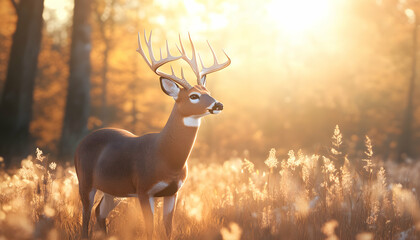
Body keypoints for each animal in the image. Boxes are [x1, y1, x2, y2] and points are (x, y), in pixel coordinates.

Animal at [75, 31, 231, 239]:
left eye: (208, 91)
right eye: (194, 96)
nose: (218, 105)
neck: (165, 156)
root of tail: (82, 142)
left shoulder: (173, 192)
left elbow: (168, 228)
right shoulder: (144, 190)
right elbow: (150, 229)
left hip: (113, 189)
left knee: (99, 212)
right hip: (84, 180)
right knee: (85, 215)